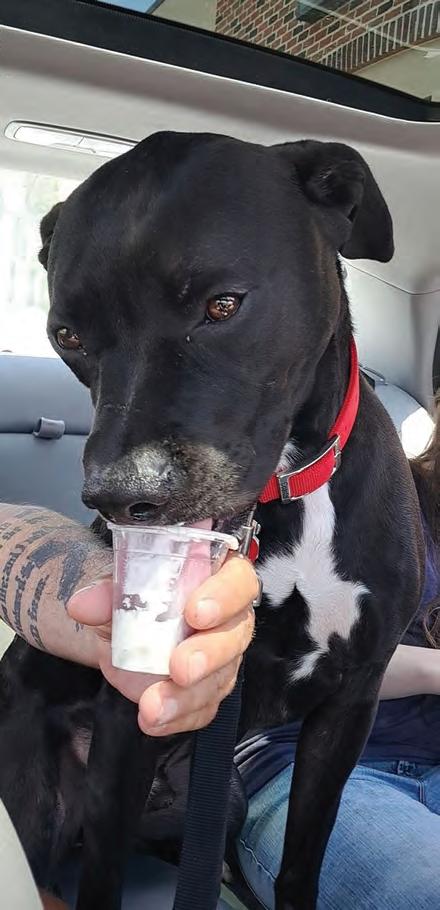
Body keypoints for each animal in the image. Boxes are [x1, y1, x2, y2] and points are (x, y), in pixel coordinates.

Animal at [0, 132, 424, 910]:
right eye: (68, 335)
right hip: (39, 795)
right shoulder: (129, 720)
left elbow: (303, 858)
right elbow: (101, 878)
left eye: (223, 306)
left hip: (220, 797)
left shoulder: (353, 701)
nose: (119, 496)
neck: (288, 492)